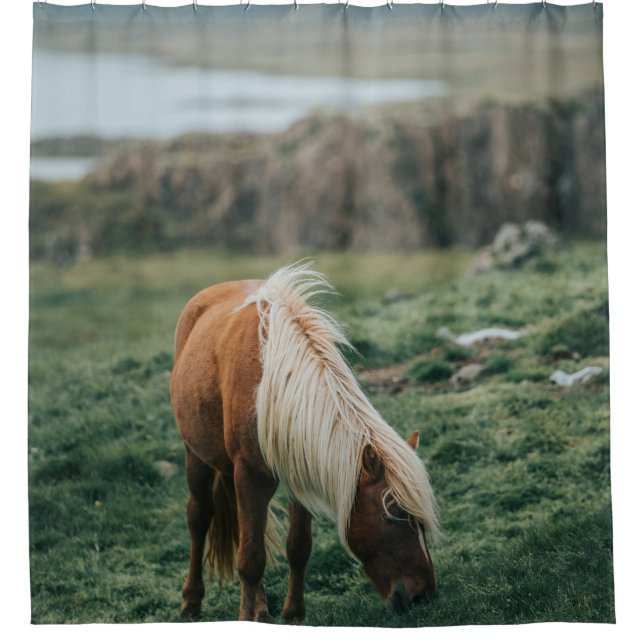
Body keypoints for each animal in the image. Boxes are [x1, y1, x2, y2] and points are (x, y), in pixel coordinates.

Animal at [170, 263, 439, 622]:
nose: (424, 595)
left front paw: (293, 615)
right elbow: (250, 559)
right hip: (196, 456)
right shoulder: (250, 476)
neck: (273, 384)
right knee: (199, 517)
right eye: (393, 514)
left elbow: (297, 548)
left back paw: (260, 606)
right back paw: (192, 601)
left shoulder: (301, 471)